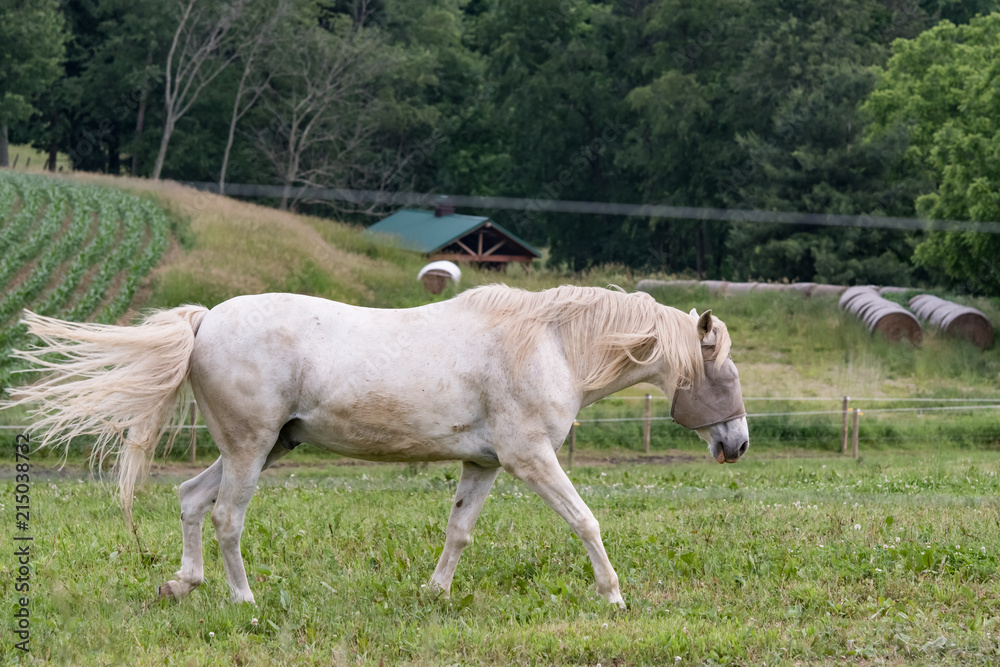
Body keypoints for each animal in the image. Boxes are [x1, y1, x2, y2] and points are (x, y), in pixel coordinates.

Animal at [6, 284, 748, 608]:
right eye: (725, 372)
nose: (738, 443)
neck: (548, 342)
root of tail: (206, 319)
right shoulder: (530, 459)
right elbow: (586, 520)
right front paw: (613, 595)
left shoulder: (483, 464)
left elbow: (459, 532)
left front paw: (435, 592)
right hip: (250, 449)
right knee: (226, 518)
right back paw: (245, 600)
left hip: (266, 446)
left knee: (192, 500)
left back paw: (182, 583)